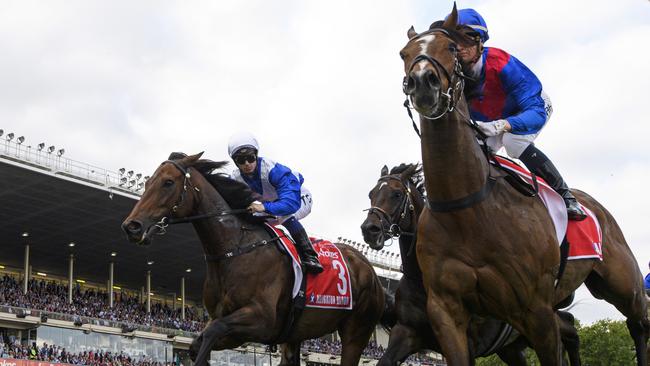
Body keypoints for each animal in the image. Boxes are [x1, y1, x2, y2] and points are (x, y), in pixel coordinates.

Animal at [121, 153, 390, 366]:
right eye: (147, 182)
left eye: (168, 183)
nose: (131, 226)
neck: (234, 249)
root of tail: (370, 271)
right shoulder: (231, 328)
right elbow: (199, 343)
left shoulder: (262, 321)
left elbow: (212, 334)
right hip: (296, 335)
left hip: (357, 331)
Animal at [360, 164, 584, 366]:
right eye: (371, 193)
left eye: (397, 194)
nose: (370, 229)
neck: (422, 280)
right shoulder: (407, 332)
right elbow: (385, 360)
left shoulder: (467, 341)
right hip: (512, 347)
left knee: (570, 329)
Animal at [398, 5, 644, 364]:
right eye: (404, 54)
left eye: (452, 47)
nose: (421, 82)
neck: (466, 206)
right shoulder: (446, 311)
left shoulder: (536, 311)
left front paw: (491, 129)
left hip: (624, 283)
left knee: (639, 321)